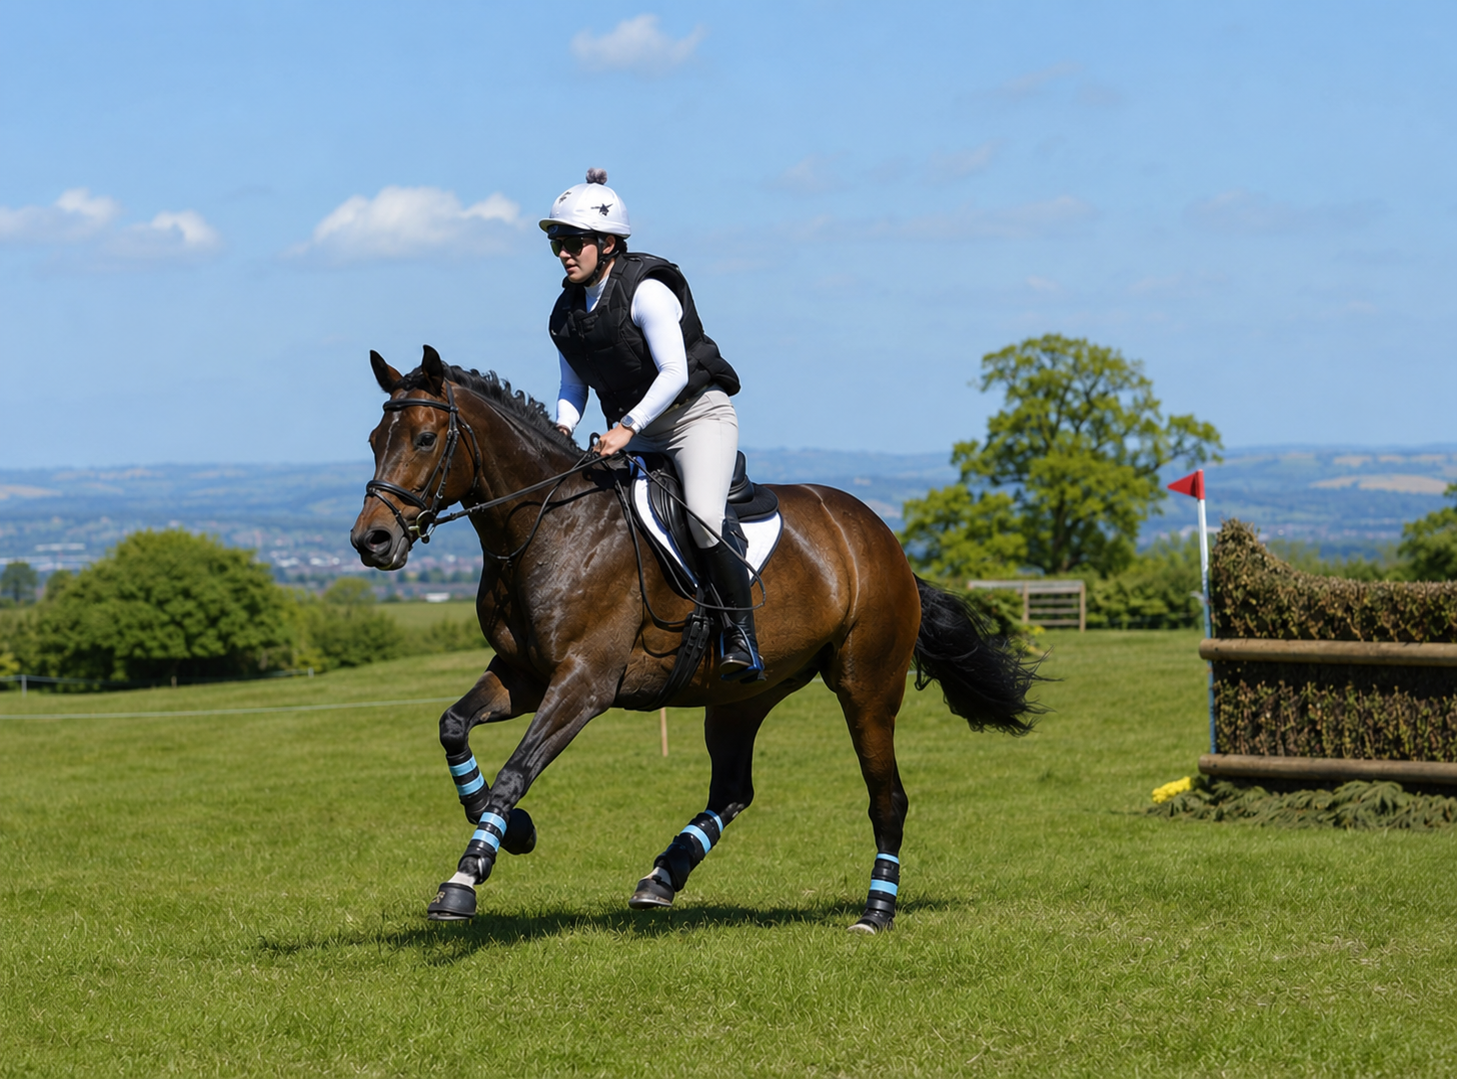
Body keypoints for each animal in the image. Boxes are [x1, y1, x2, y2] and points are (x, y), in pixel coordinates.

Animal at [350, 346, 1040, 933]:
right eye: (375, 441)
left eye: (425, 439)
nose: (371, 541)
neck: (549, 524)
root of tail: (883, 541)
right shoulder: (524, 675)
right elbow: (453, 728)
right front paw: (514, 831)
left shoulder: (583, 684)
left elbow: (516, 770)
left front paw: (463, 881)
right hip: (744, 694)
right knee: (733, 789)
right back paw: (663, 876)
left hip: (866, 685)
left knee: (887, 798)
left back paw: (876, 911)